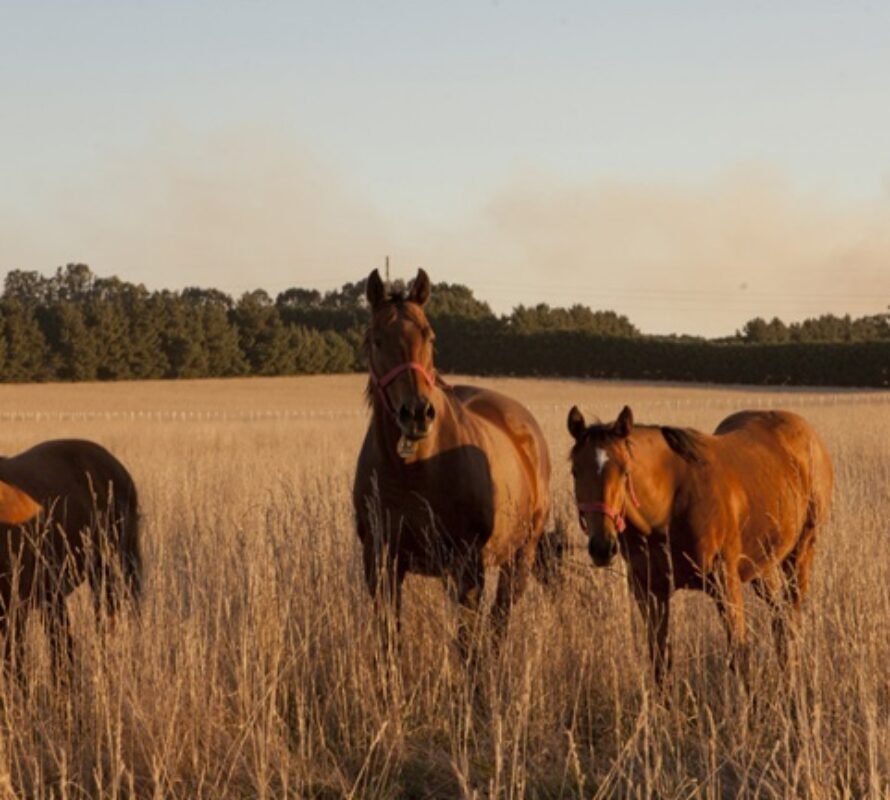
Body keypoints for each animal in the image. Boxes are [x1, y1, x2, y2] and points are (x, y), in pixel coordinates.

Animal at [356, 272, 556, 660]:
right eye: (376, 339)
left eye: (429, 335)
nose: (417, 413)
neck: (414, 470)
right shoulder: (380, 562)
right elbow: (389, 641)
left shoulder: (467, 566)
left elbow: (467, 645)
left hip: (518, 557)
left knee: (499, 621)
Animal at [564, 406, 828, 680]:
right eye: (575, 471)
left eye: (625, 471)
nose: (602, 546)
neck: (670, 505)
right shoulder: (650, 592)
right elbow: (660, 661)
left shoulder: (725, 584)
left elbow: (740, 655)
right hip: (763, 566)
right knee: (779, 618)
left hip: (800, 554)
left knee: (790, 620)